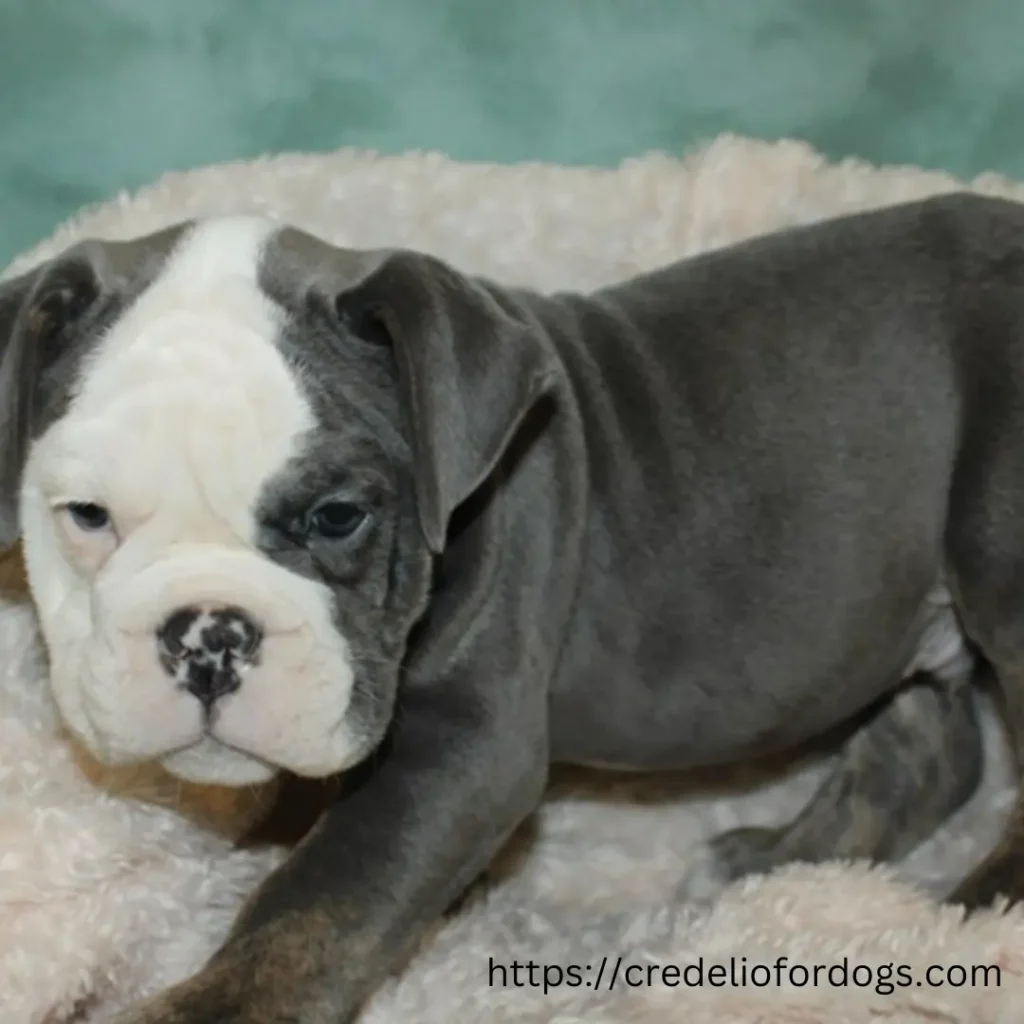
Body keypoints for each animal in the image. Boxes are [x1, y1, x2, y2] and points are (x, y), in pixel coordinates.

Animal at [2, 193, 1024, 1024]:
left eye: (337, 516)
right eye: (86, 515)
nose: (207, 637)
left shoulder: (462, 751)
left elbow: (319, 898)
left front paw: (208, 1003)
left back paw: (972, 919)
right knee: (931, 752)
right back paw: (778, 867)